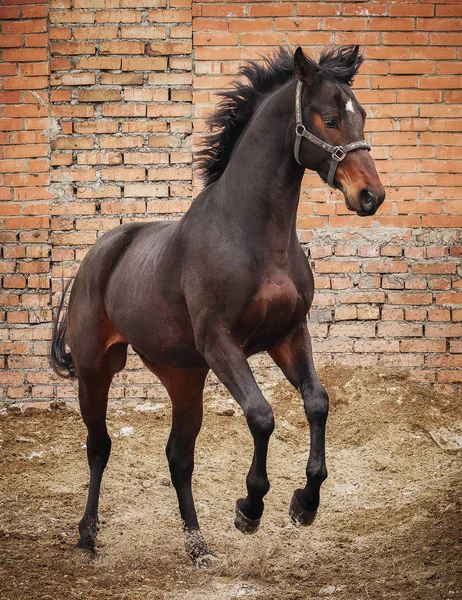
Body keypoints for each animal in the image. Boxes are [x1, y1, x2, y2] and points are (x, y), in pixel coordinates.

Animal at [50, 45, 384, 564]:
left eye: (362, 115)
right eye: (329, 119)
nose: (370, 196)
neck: (253, 236)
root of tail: (98, 254)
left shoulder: (289, 336)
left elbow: (317, 403)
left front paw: (304, 504)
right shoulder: (222, 344)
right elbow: (262, 415)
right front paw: (249, 508)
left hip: (182, 377)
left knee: (178, 456)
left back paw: (196, 544)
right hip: (95, 369)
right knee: (98, 446)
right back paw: (87, 535)